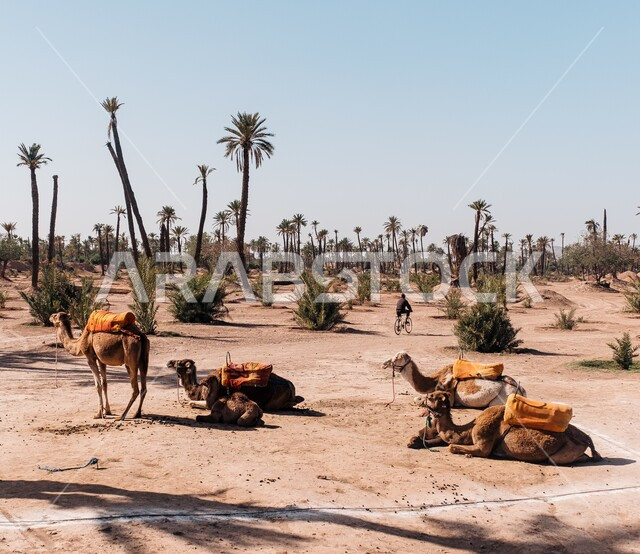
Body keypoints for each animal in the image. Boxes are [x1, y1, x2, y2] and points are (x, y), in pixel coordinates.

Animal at [167, 359, 304, 411]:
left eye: (180, 362)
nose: (169, 362)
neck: (199, 389)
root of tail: (290, 387)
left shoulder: (209, 403)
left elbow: (191, 403)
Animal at [382, 351, 525, 408]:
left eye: (397, 358)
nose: (384, 364)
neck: (434, 380)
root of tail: (521, 390)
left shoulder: (446, 392)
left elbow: (418, 399)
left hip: (500, 400)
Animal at [423, 390, 602, 464]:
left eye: (431, 396)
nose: (421, 399)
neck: (468, 429)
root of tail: (587, 439)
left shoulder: (483, 444)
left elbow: (452, 446)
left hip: (565, 451)